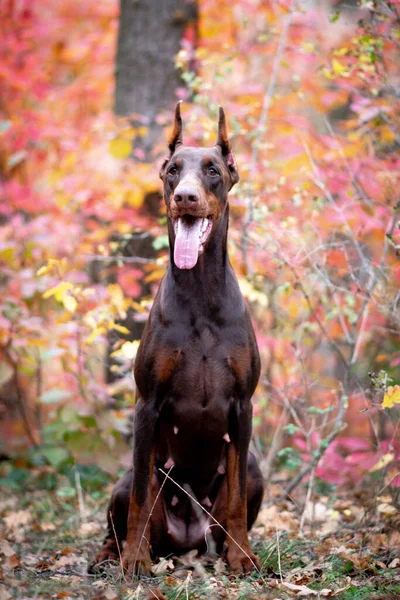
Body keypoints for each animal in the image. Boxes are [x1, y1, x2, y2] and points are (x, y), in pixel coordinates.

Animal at [91, 103, 266, 576]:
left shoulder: (243, 405)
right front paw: (134, 560)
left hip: (252, 474)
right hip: (128, 480)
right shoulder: (147, 403)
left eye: (212, 170)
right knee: (125, 509)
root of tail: (187, 540)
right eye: (173, 170)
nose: (185, 196)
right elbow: (138, 501)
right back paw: (112, 554)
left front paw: (242, 558)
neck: (201, 293)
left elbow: (237, 495)